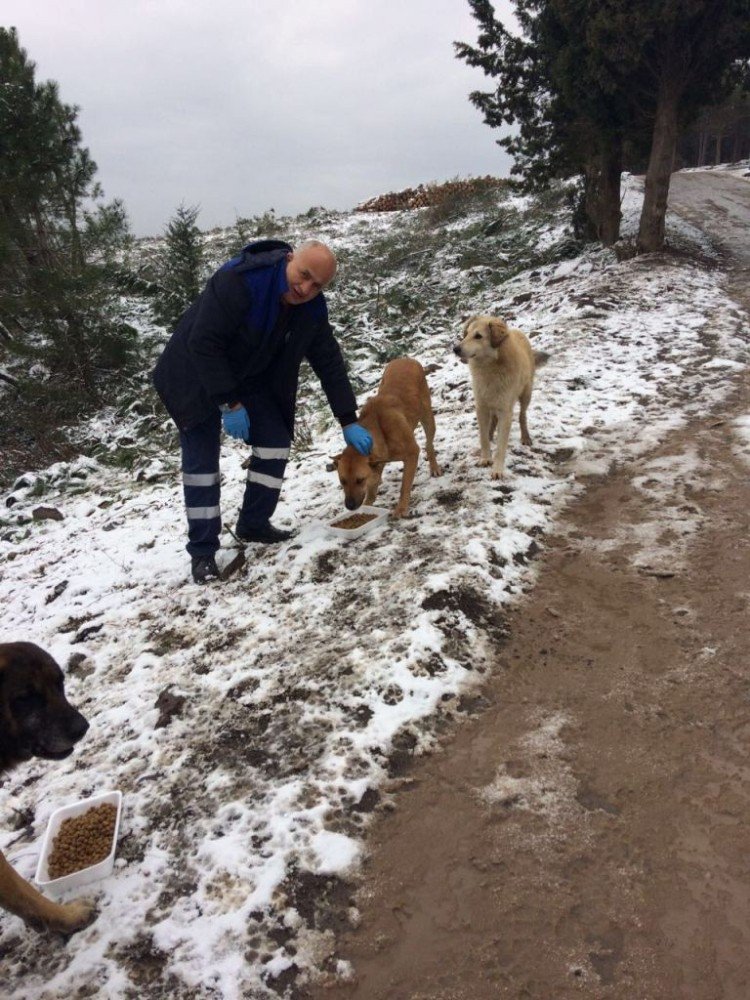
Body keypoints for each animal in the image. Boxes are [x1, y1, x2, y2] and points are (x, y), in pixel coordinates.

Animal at [332, 358, 444, 516]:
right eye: (342, 481)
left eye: (360, 480)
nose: (350, 506)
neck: (379, 429)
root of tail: (406, 358)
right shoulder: (376, 464)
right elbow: (372, 488)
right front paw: (368, 504)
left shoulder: (411, 453)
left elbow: (405, 485)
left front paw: (401, 508)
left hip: (427, 417)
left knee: (429, 444)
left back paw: (434, 466)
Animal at [452, 316, 548, 480]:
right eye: (467, 334)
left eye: (478, 336)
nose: (455, 349)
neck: (491, 368)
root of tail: (517, 331)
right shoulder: (481, 406)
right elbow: (483, 437)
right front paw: (485, 458)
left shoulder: (506, 411)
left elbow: (501, 445)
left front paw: (497, 469)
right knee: (493, 422)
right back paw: (491, 434)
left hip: (526, 395)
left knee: (522, 415)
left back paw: (525, 437)